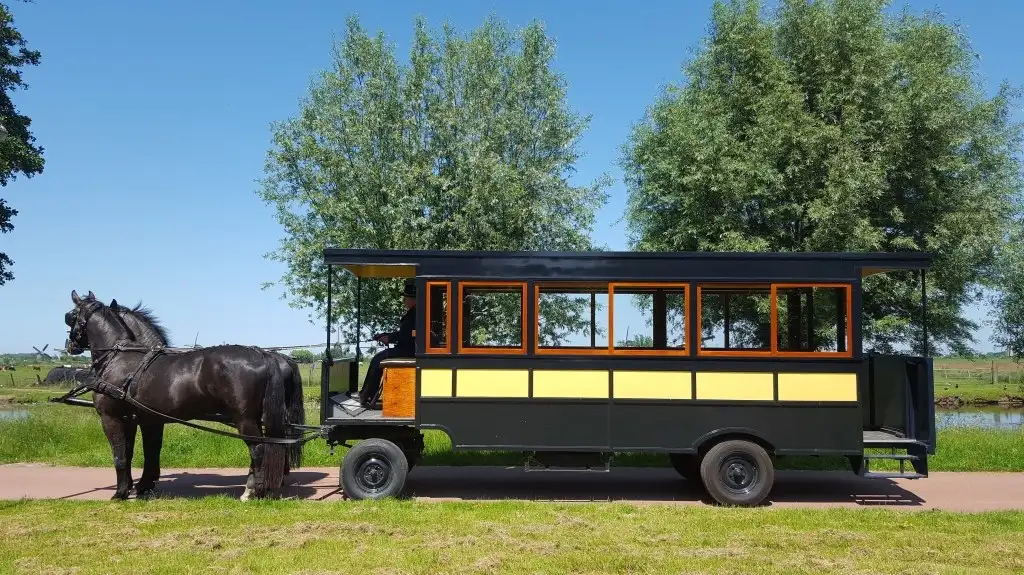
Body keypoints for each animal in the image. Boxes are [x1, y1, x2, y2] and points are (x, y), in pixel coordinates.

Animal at [64, 290, 301, 500]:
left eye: (70, 316)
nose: (70, 345)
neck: (119, 358)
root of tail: (262, 354)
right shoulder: (142, 420)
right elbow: (140, 452)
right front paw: (139, 486)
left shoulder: (111, 418)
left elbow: (120, 455)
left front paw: (121, 493)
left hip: (245, 419)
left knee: (258, 448)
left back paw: (254, 491)